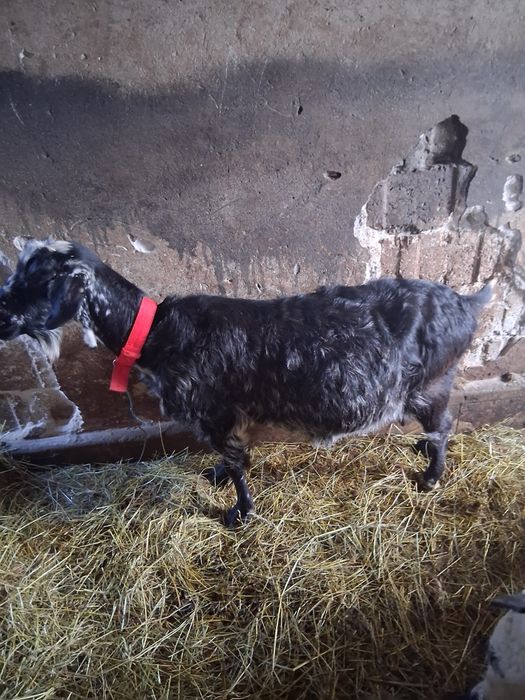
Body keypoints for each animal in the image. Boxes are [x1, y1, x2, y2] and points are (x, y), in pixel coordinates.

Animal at [0, 238, 491, 524]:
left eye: (34, 282)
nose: (1, 318)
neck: (157, 332)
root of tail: (467, 303)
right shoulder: (231, 412)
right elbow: (232, 456)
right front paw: (217, 476)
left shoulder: (214, 411)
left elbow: (238, 461)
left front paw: (240, 511)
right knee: (439, 425)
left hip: (429, 383)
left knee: (444, 425)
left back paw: (431, 476)